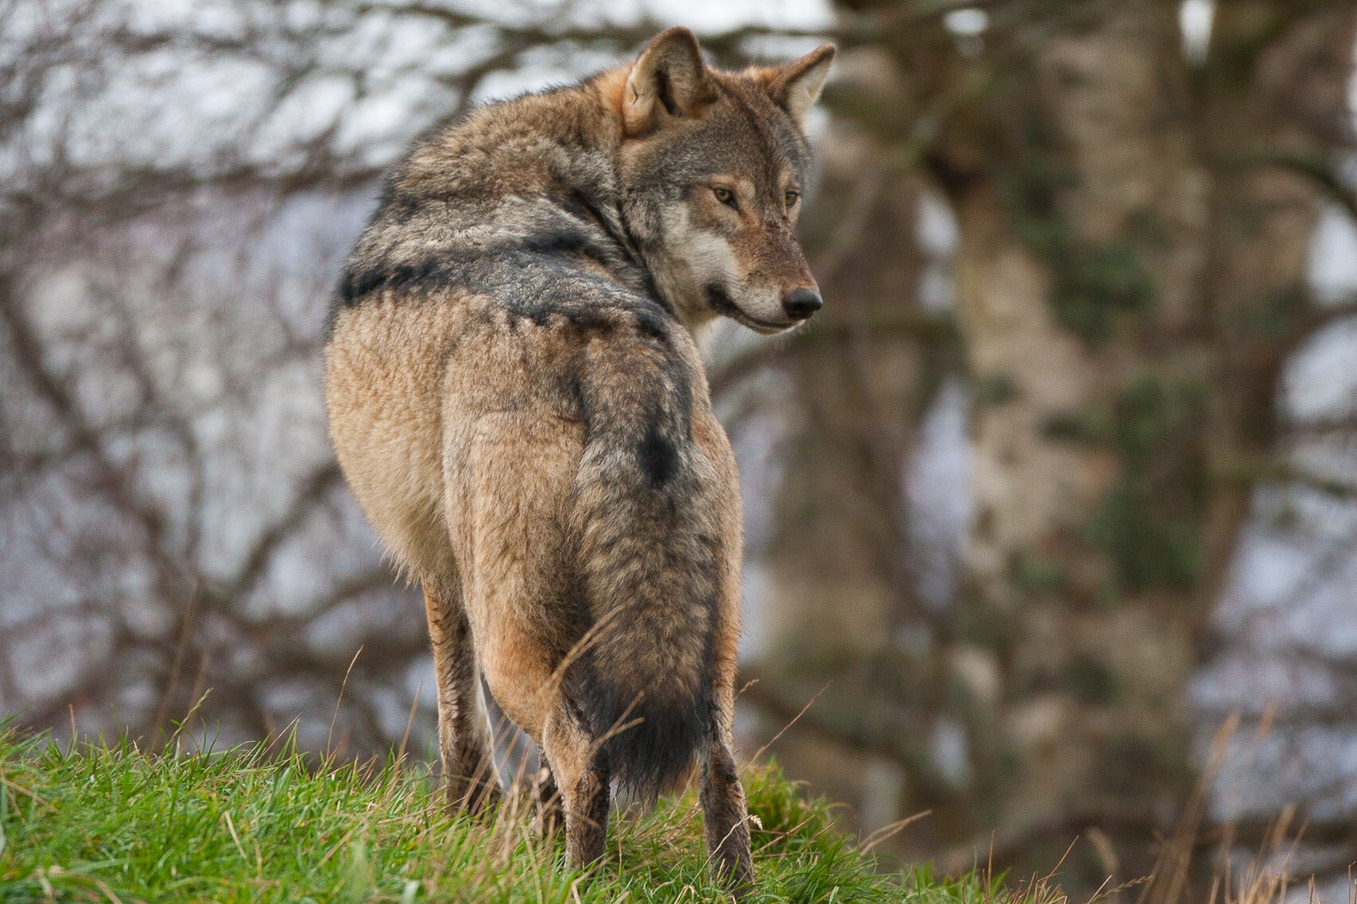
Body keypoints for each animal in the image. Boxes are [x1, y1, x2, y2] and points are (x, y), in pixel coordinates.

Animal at [323, 26, 833, 893]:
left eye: (787, 199)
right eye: (726, 196)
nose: (805, 302)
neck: (577, 191)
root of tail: (614, 347)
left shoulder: (437, 563)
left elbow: (456, 715)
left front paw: (465, 821)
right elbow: (525, 769)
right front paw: (522, 828)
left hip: (514, 635)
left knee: (581, 754)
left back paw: (575, 881)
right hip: (708, 644)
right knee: (719, 768)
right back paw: (727, 888)